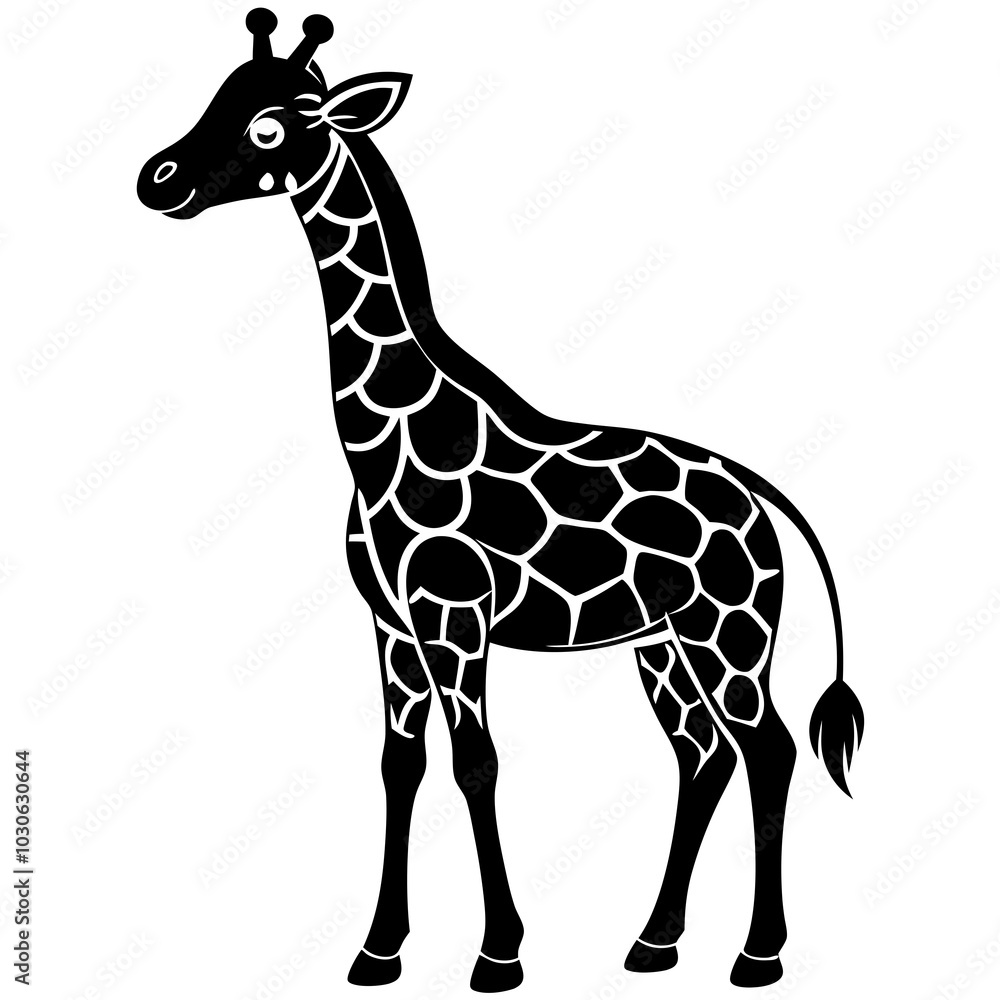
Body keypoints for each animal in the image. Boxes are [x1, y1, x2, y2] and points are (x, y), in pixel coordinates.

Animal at [137, 10, 865, 991]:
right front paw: (377, 951)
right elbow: (400, 764)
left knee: (769, 749)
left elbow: (475, 763)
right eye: (214, 96)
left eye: (269, 128)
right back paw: (654, 942)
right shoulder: (392, 623)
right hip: (662, 642)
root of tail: (761, 496)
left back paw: (757, 956)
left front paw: (499, 954)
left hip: (730, 631)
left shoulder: (454, 615)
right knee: (701, 753)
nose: (158, 179)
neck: (385, 437)